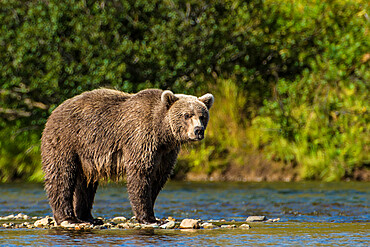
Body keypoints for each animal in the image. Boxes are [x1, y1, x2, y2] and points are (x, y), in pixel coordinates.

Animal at [40, 88, 212, 224]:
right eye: (187, 115)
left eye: (202, 116)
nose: (198, 130)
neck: (162, 133)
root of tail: (54, 111)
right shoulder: (141, 139)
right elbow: (140, 175)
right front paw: (148, 217)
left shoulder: (166, 153)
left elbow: (158, 178)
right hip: (67, 141)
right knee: (61, 176)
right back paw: (68, 218)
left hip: (86, 156)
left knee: (86, 184)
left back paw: (89, 217)